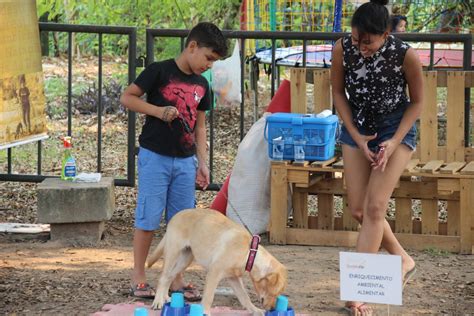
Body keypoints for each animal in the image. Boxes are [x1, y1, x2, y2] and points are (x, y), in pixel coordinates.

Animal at [148, 209, 286, 314]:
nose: (272, 309)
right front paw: (204, 312)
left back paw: (165, 298)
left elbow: (244, 297)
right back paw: (158, 302)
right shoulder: (214, 273)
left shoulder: (234, 278)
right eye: (274, 293)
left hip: (185, 260)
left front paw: (255, 310)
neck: (249, 253)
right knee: (163, 277)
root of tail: (176, 215)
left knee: (169, 277)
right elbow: (209, 297)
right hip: (172, 254)